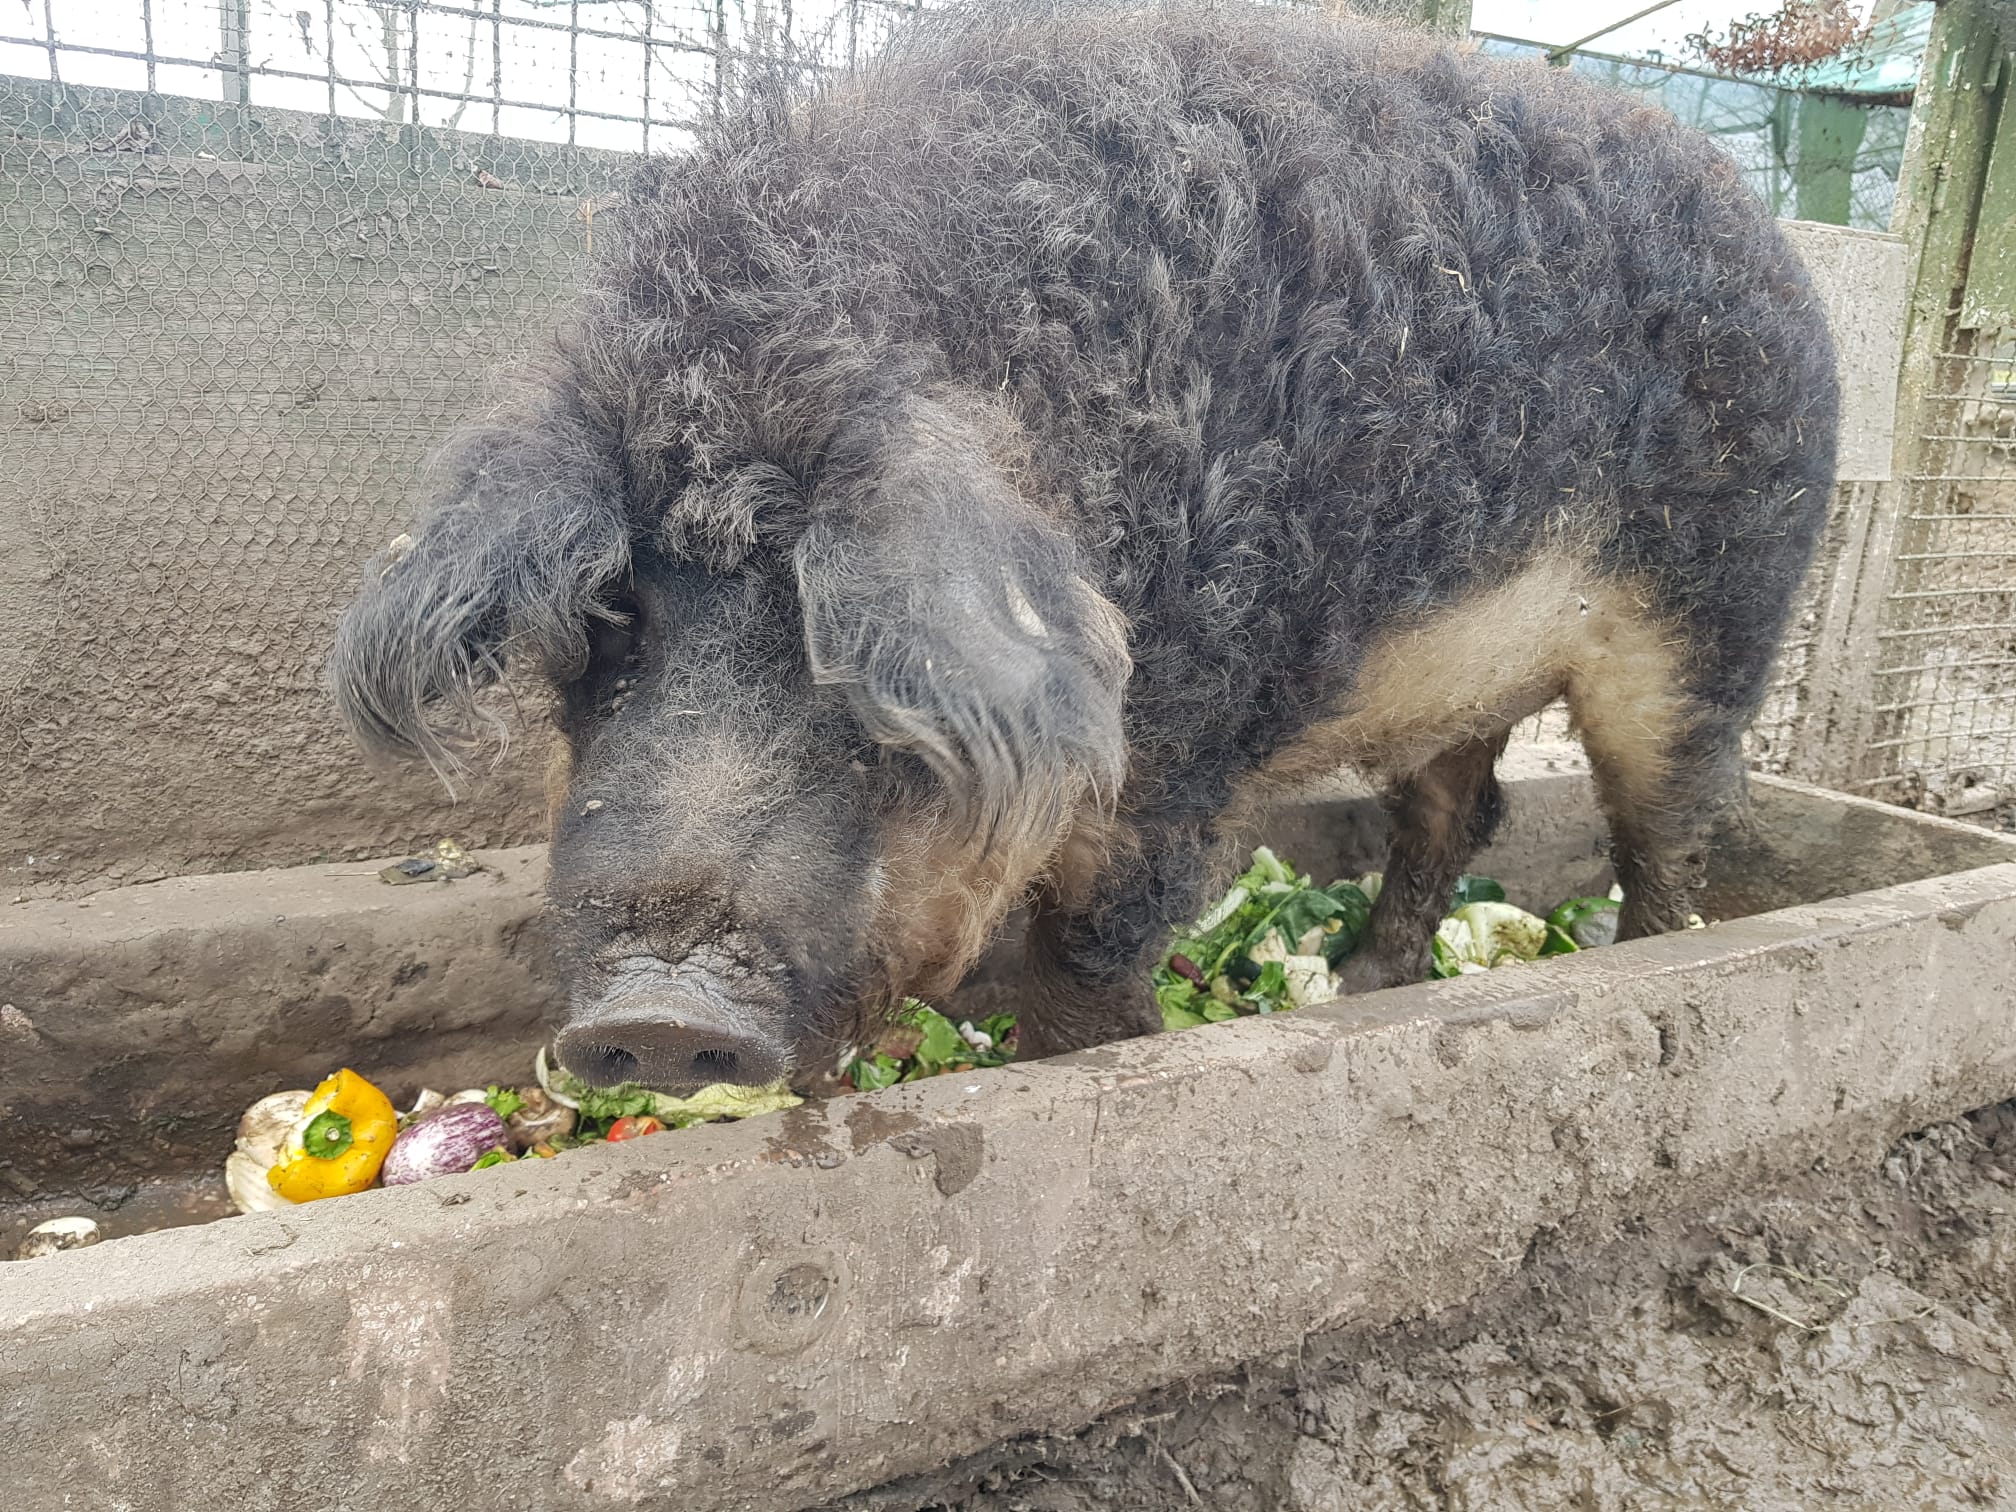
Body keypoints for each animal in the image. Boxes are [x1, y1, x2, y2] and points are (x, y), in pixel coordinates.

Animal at [330, 0, 1846, 1088]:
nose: (651, 1014)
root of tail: (1781, 248)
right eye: (615, 620)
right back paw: (1370, 987)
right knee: (1455, 810)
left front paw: (1068, 1066)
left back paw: (1640, 965)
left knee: (1672, 824)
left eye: (836, 636)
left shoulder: (1188, 741)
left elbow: (1093, 954)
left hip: (1718, 613)